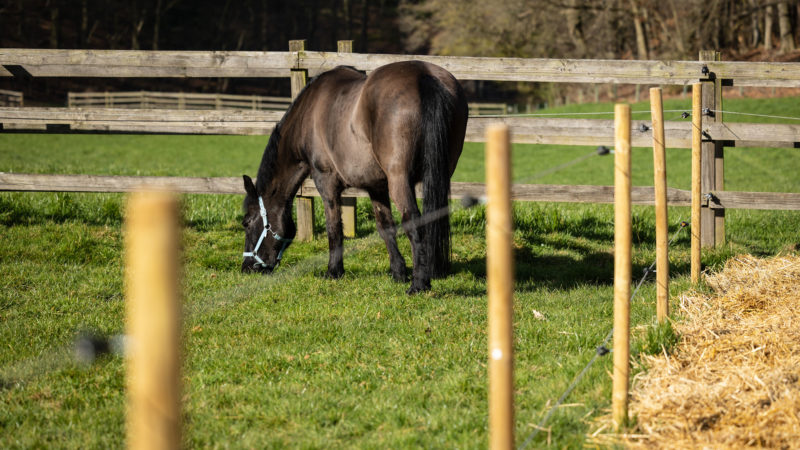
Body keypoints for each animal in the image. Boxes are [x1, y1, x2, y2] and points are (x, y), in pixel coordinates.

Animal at [242, 59, 468, 294]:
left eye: (246, 223)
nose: (247, 267)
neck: (308, 114)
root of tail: (423, 75)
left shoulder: (326, 183)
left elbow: (334, 227)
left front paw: (333, 271)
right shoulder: (376, 187)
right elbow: (385, 227)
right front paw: (398, 272)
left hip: (400, 181)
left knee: (413, 222)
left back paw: (419, 284)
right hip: (439, 176)